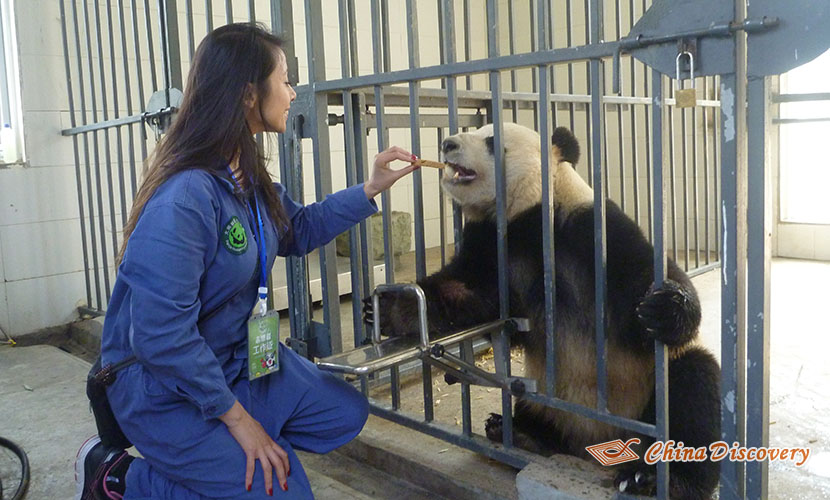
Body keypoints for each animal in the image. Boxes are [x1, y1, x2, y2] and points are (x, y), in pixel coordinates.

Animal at [374, 122, 724, 500]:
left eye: (492, 141)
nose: (448, 143)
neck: (526, 217)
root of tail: (594, 446)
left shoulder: (589, 229)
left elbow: (644, 281)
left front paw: (666, 307)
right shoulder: (492, 246)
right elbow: (470, 295)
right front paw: (390, 308)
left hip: (642, 394)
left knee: (693, 386)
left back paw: (657, 478)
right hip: (545, 394)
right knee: (529, 403)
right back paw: (521, 433)